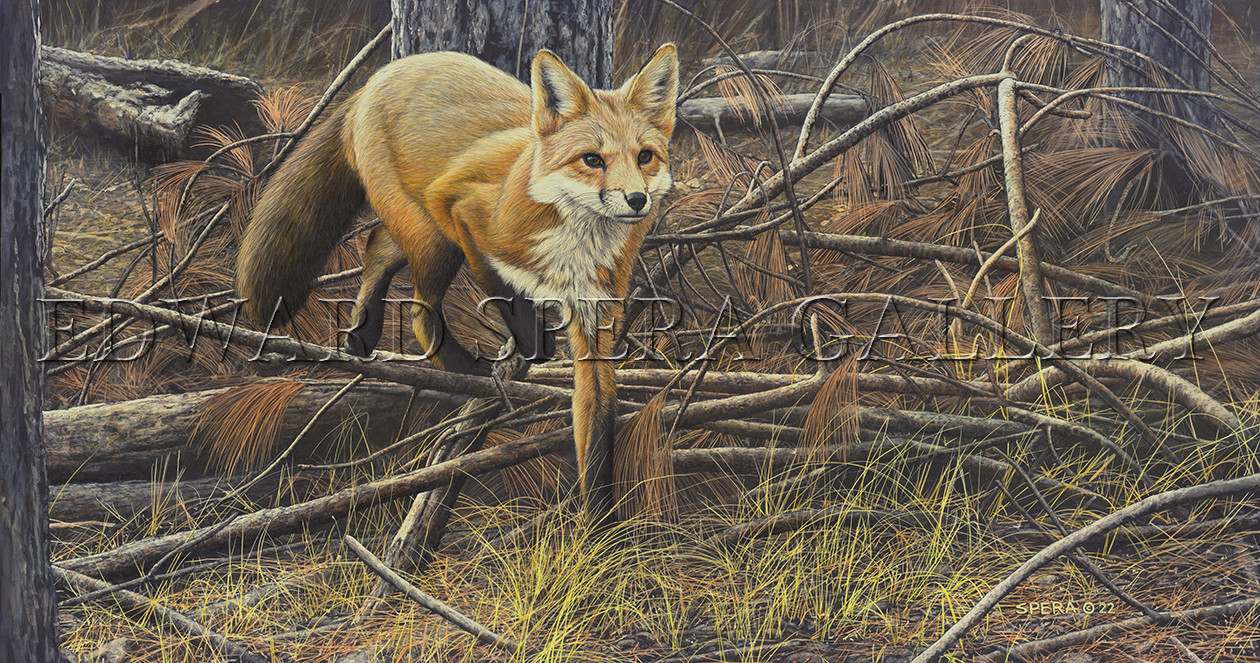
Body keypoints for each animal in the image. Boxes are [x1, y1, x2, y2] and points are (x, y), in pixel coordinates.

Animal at [235, 45, 679, 522]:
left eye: (645, 157)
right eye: (592, 160)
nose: (637, 200)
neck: (572, 246)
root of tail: (380, 76)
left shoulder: (595, 319)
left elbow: (596, 432)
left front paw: (599, 524)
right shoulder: (464, 212)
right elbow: (505, 291)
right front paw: (533, 345)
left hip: (422, 233)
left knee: (377, 247)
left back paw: (361, 335)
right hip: (434, 236)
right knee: (417, 311)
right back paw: (461, 368)